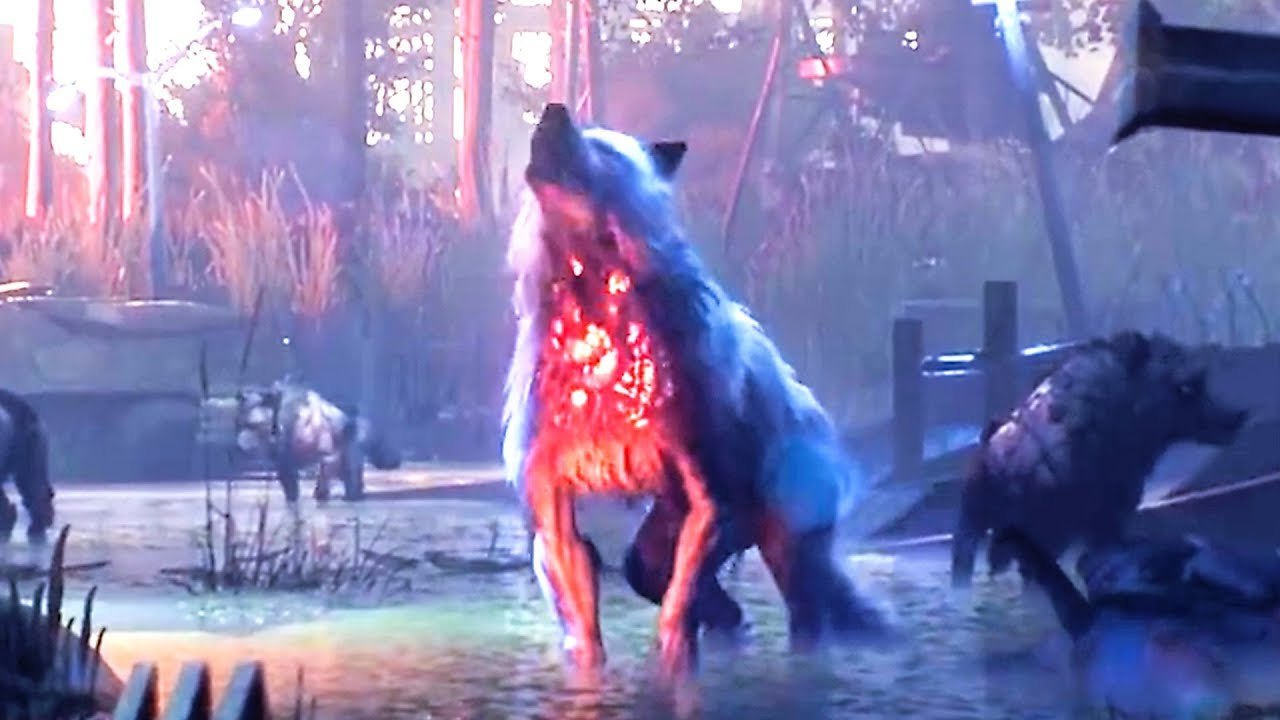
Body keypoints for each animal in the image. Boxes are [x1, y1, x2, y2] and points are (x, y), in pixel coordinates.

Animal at [234, 379, 402, 503]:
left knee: (350, 474)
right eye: (241, 422)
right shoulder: (283, 459)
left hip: (349, 451)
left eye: (253, 424)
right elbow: (290, 483)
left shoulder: (328, 452)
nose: (242, 445)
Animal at [501, 103, 887, 675]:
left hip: (781, 544)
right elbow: (588, 633)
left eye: (604, 147)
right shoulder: (554, 515)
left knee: (800, 616)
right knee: (686, 590)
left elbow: (676, 619)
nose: (553, 110)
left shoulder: (709, 500)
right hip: (671, 542)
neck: (595, 307)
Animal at [950, 331, 1248, 588]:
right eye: (1187, 387)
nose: (1236, 417)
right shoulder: (1105, 513)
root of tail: (996, 467)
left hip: (975, 525)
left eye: (1202, 382)